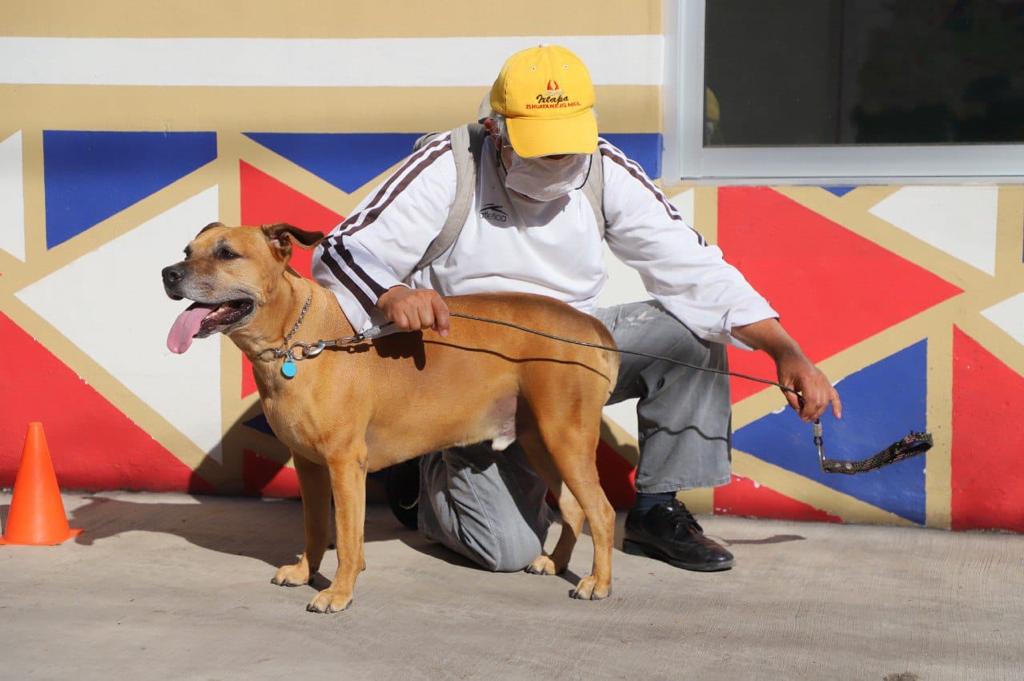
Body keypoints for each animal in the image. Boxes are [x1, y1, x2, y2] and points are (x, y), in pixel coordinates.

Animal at [163, 222, 618, 610]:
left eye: (227, 253)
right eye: (187, 250)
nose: (168, 273)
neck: (298, 340)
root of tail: (590, 327)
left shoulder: (345, 463)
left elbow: (347, 535)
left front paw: (339, 592)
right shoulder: (309, 464)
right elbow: (316, 526)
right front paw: (307, 572)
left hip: (566, 437)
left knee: (601, 511)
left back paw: (598, 582)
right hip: (540, 439)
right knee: (575, 508)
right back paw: (556, 562)